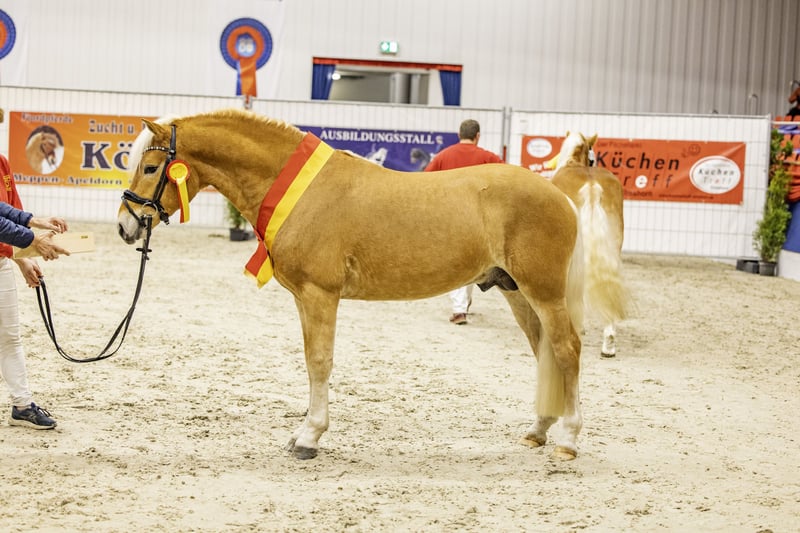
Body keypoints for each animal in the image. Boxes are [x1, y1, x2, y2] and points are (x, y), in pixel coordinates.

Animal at [117, 108, 595, 461]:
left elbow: (319, 362)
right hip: (518, 294)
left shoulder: (320, 295)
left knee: (566, 350)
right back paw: (537, 431)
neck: (301, 191)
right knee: (544, 352)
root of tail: (560, 196)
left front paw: (309, 437)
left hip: (544, 293)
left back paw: (569, 441)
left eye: (151, 167)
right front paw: (303, 432)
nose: (126, 225)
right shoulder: (304, 299)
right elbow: (311, 360)